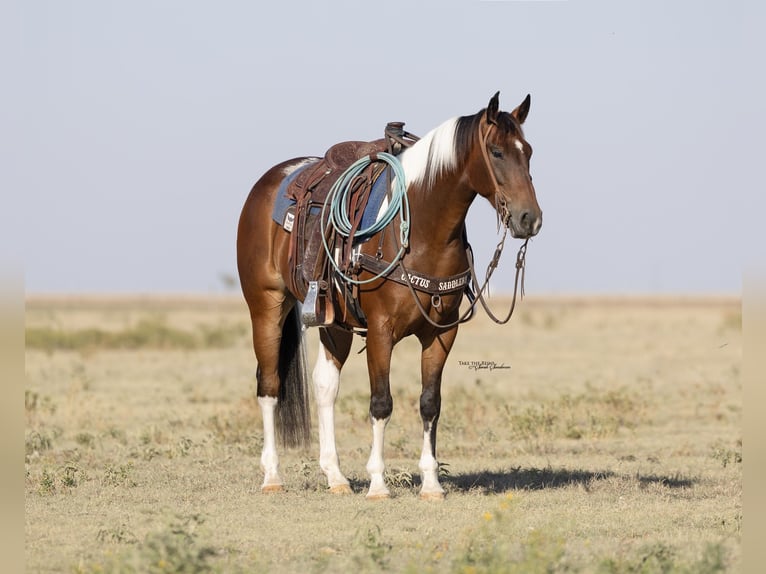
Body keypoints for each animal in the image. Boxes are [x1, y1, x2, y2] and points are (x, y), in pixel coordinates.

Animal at [236, 92, 542, 499]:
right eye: (496, 152)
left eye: (528, 152)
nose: (530, 219)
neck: (424, 231)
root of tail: (268, 182)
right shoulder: (382, 332)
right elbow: (381, 403)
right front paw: (378, 483)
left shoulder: (442, 333)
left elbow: (430, 404)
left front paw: (431, 484)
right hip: (267, 305)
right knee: (269, 385)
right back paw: (272, 476)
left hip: (335, 322)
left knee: (324, 386)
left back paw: (335, 476)